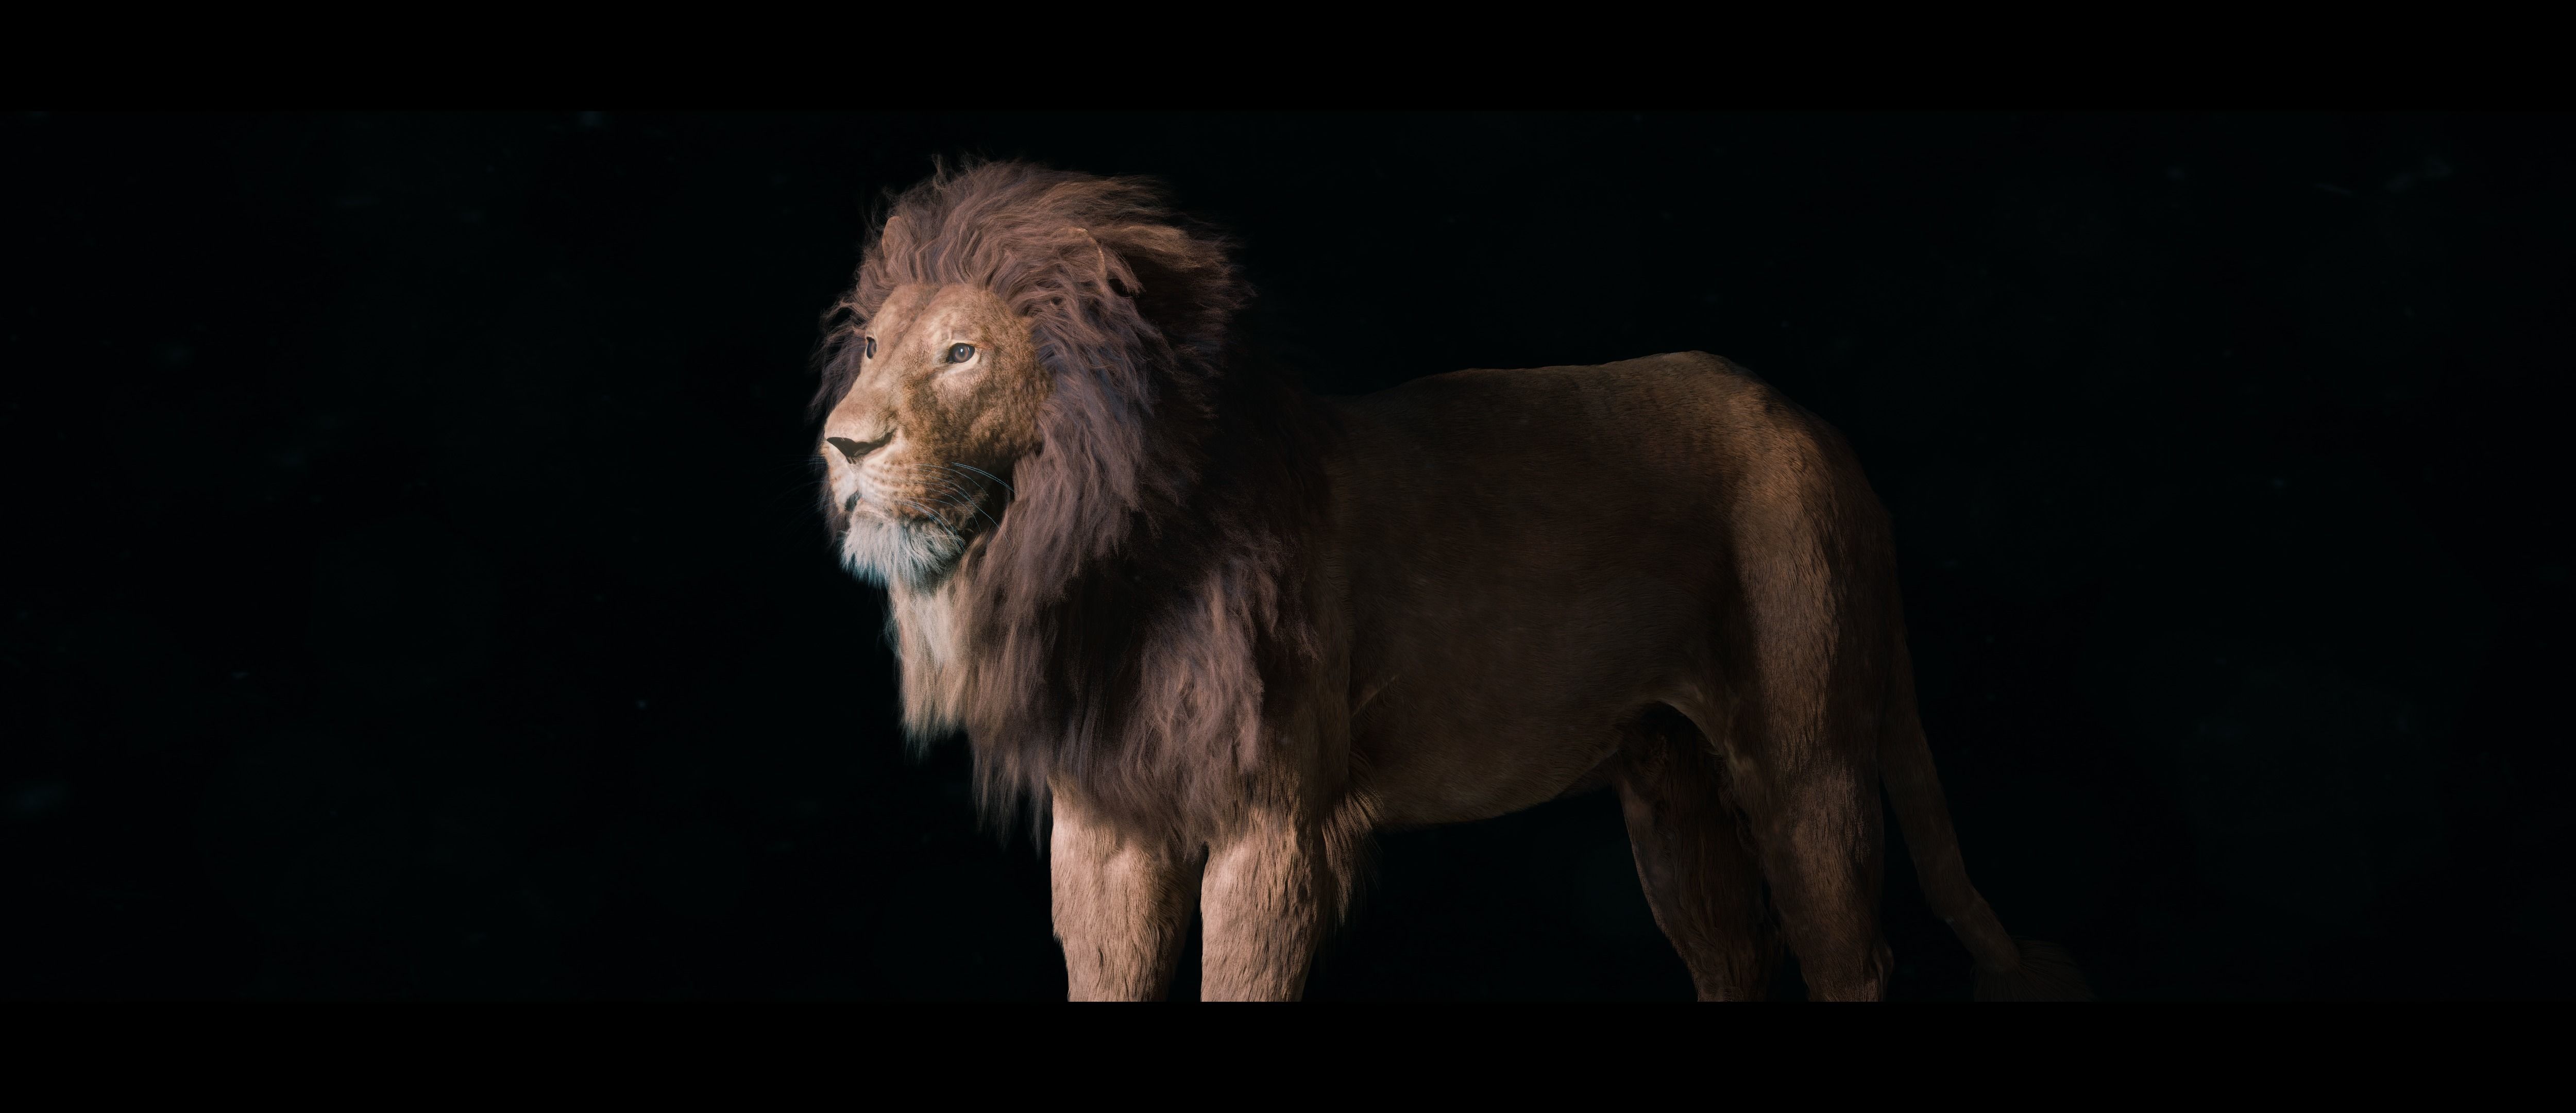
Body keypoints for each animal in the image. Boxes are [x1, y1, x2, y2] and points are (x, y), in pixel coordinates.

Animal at [810, 160, 2089, 1001]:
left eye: (963, 353)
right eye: (872, 348)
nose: (843, 445)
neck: (1093, 557)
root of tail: (1816, 432)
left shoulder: (1274, 827)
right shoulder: (1108, 828)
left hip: (1802, 760)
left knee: (1848, 956)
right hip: (1670, 792)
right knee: (1735, 957)